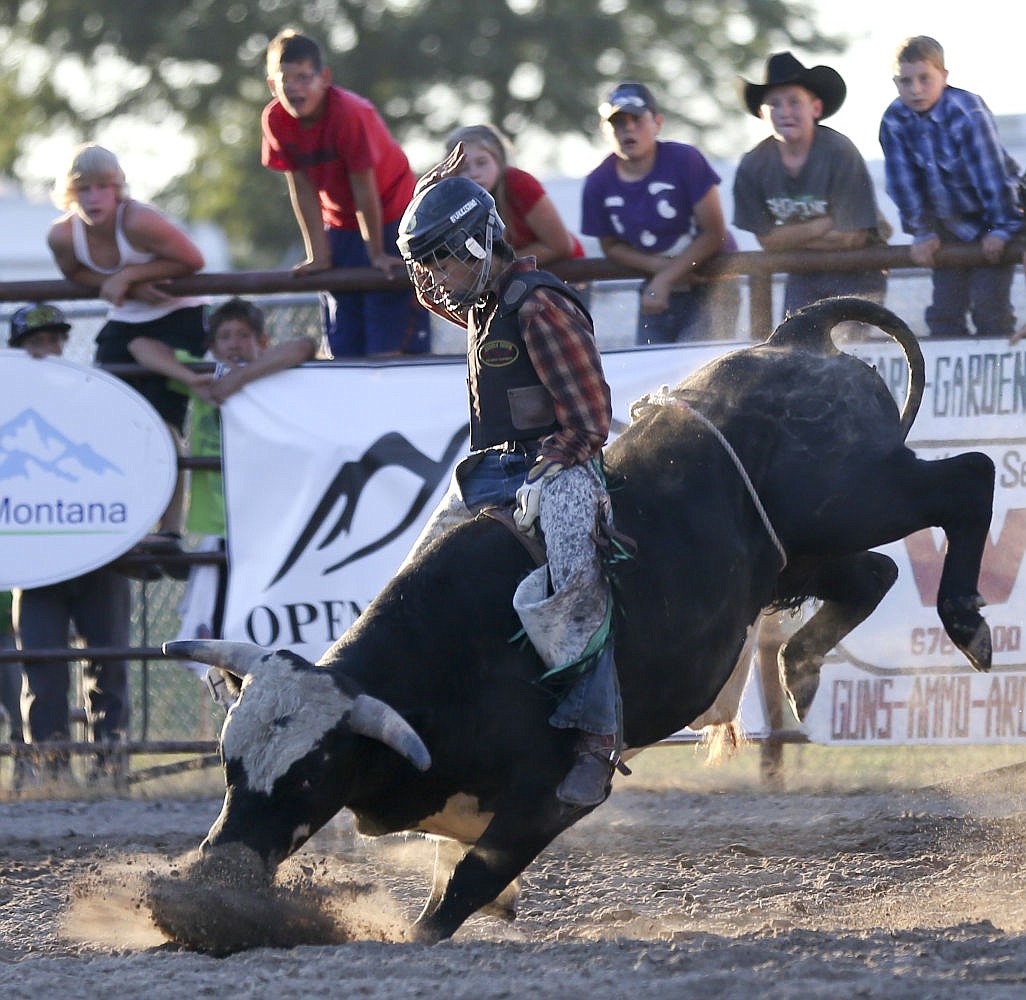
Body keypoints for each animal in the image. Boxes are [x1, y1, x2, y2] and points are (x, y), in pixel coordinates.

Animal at [162, 295, 993, 947]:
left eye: (311, 774)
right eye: (230, 764)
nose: (210, 879)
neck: (446, 662)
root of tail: (795, 340)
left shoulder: (546, 796)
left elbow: (463, 887)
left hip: (855, 494)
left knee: (970, 477)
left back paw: (967, 624)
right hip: (801, 550)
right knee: (875, 573)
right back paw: (803, 668)